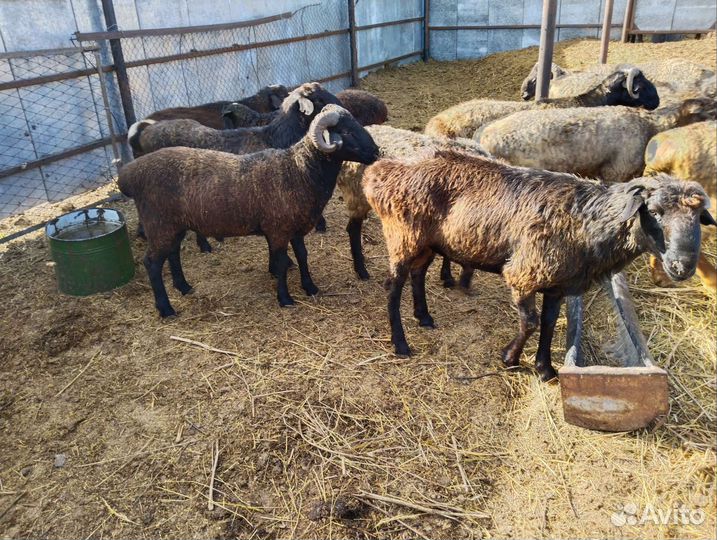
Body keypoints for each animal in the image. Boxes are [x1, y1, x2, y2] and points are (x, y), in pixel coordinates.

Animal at [118, 105, 379, 318]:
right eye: (346, 132)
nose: (376, 152)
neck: (299, 170)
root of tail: (129, 175)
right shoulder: (278, 230)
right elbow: (281, 263)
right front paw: (285, 298)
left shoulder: (295, 227)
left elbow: (303, 256)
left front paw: (310, 287)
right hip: (159, 224)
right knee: (152, 263)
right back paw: (166, 308)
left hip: (174, 225)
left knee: (172, 254)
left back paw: (184, 287)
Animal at [362, 150, 714, 381]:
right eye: (654, 211)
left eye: (699, 216)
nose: (682, 267)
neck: (589, 223)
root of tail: (381, 172)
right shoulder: (524, 273)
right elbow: (530, 322)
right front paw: (510, 359)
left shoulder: (558, 283)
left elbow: (548, 323)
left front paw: (546, 369)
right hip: (403, 236)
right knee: (393, 287)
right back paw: (401, 343)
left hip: (427, 243)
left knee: (418, 274)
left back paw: (424, 317)